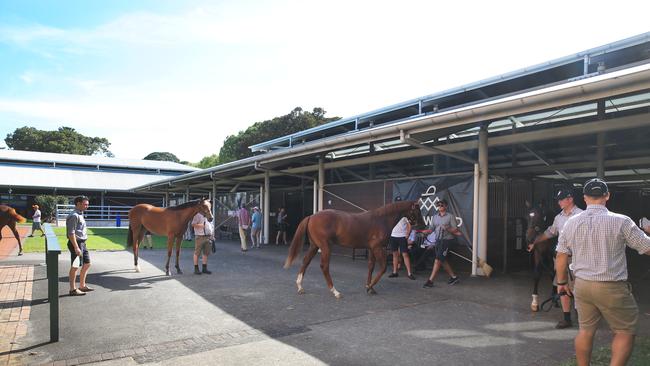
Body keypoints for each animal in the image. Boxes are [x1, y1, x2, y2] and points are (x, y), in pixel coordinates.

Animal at [282, 202, 422, 298]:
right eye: (417, 210)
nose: (423, 225)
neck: (381, 220)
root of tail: (311, 217)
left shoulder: (371, 249)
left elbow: (371, 267)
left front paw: (370, 287)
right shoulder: (378, 248)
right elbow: (382, 268)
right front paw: (369, 287)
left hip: (314, 246)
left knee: (306, 261)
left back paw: (300, 286)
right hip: (325, 246)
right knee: (324, 266)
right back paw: (335, 291)